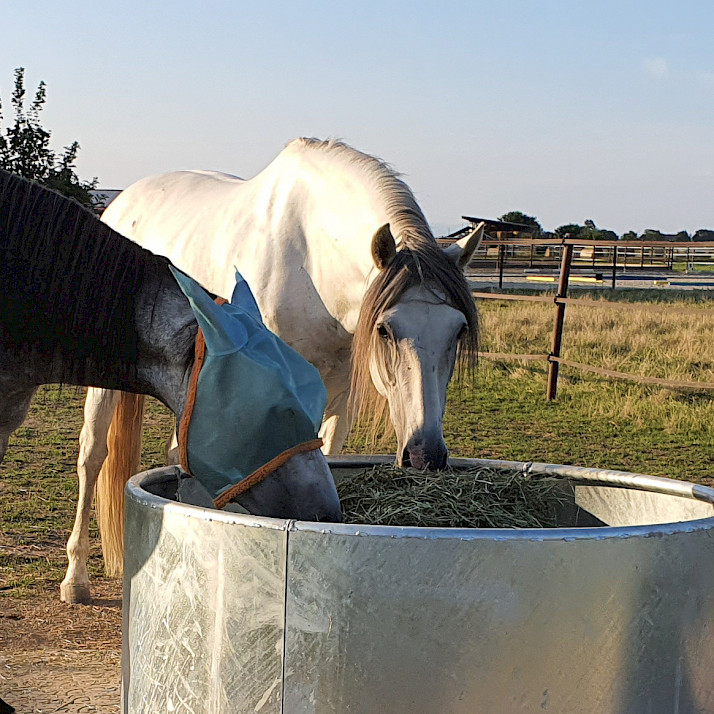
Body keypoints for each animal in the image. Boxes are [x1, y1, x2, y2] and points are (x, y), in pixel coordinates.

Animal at [84, 137, 483, 576]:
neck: (312, 264)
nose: (425, 457)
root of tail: (123, 201)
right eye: (384, 329)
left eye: (458, 330)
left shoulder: (338, 400)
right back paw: (75, 580)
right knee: (93, 454)